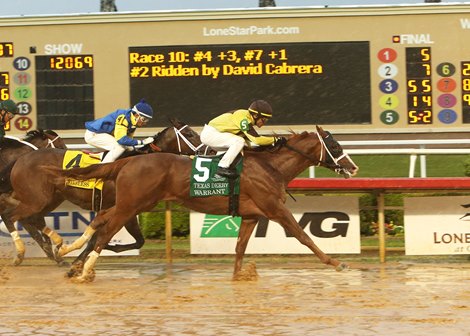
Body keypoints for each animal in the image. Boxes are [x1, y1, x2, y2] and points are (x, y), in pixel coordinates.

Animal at [45, 125, 360, 280]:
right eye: (334, 145)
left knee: (100, 220)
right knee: (105, 231)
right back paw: (84, 269)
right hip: (131, 205)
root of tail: (127, 162)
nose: (353, 167)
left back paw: (67, 250)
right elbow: (303, 236)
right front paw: (337, 263)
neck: (270, 167)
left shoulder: (251, 215)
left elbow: (240, 246)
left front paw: (239, 275)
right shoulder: (275, 209)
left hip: (136, 203)